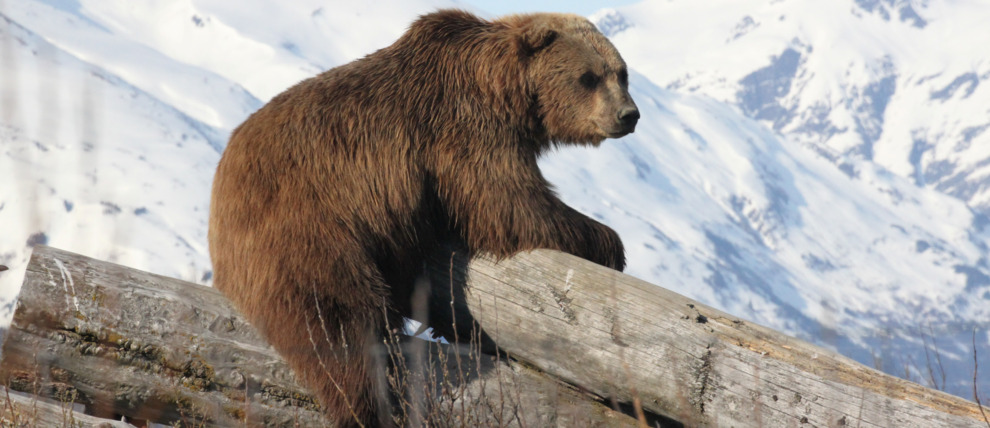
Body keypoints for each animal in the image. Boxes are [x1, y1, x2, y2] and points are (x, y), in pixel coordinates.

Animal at [209, 9, 638, 427]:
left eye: (622, 72)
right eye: (589, 76)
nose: (628, 115)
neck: (506, 93)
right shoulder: (464, 129)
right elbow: (511, 206)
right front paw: (610, 243)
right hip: (307, 229)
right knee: (339, 321)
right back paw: (369, 403)